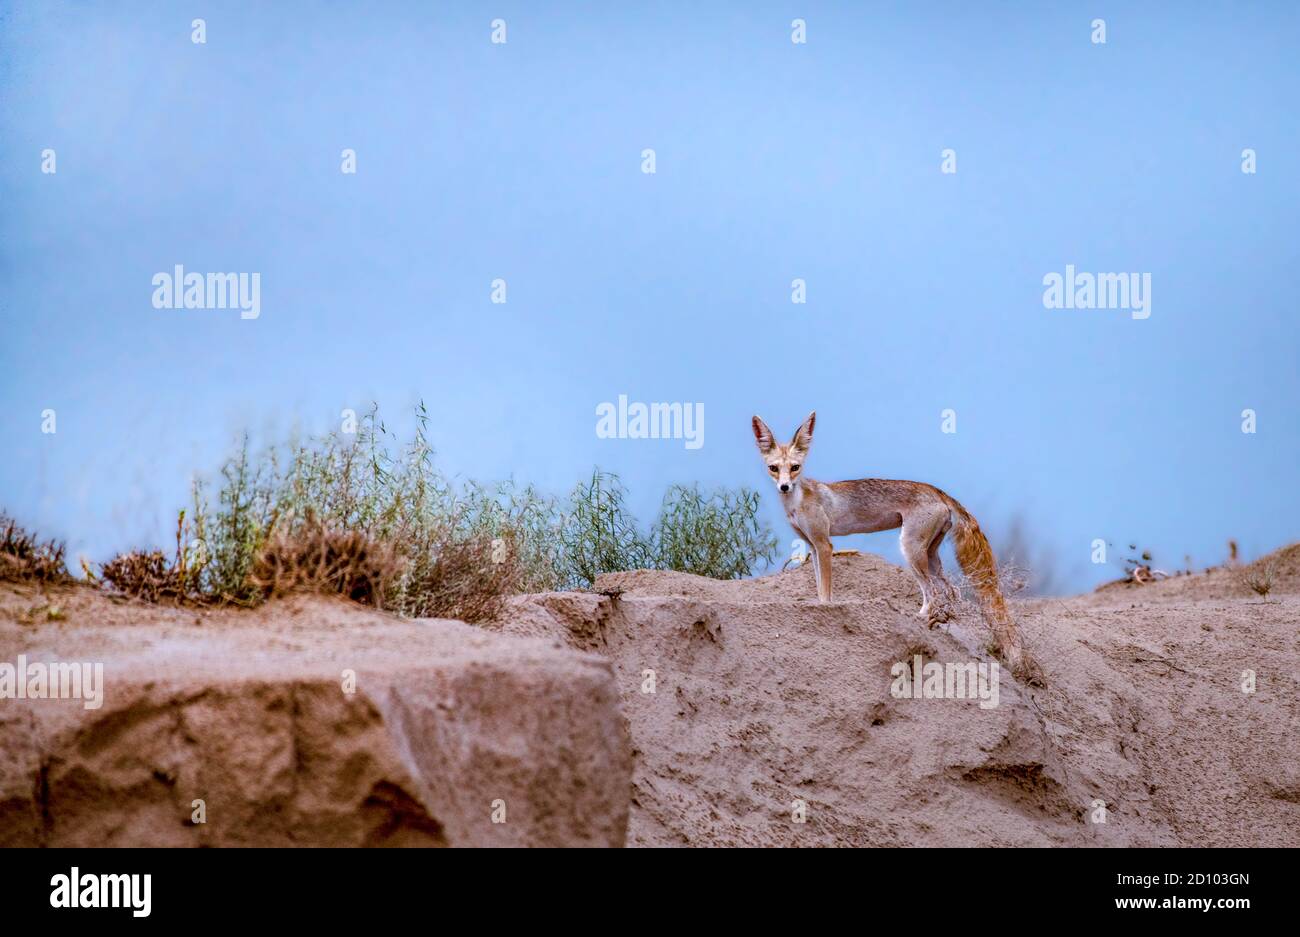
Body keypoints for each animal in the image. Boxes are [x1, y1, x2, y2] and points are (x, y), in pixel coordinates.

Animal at [759, 413, 1029, 675]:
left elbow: (825, 593)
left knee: (933, 594)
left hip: (910, 551)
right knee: (953, 592)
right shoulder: (813, 546)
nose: (784, 486)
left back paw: (921, 620)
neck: (798, 501)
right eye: (773, 468)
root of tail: (937, 490)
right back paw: (941, 621)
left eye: (795, 467)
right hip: (931, 556)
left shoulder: (825, 545)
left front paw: (825, 610)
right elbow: (818, 588)